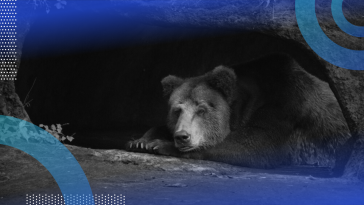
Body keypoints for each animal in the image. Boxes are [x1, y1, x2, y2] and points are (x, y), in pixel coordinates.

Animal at [126, 53, 352, 169]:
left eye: (202, 109)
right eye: (176, 110)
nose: (182, 136)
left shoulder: (285, 106)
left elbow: (252, 145)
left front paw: (159, 144)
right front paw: (141, 140)